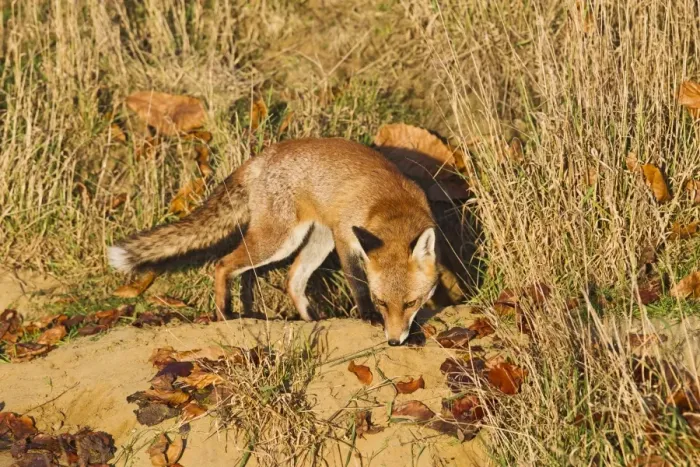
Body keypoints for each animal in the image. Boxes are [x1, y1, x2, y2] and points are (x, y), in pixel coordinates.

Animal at [107, 137, 439, 345]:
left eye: (410, 302)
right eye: (381, 302)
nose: (393, 342)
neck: (390, 205)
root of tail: (262, 156)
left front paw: (414, 331)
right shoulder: (346, 240)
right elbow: (357, 283)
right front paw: (367, 315)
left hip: (315, 240)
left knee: (293, 279)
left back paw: (309, 321)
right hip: (279, 240)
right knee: (222, 263)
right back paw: (224, 313)